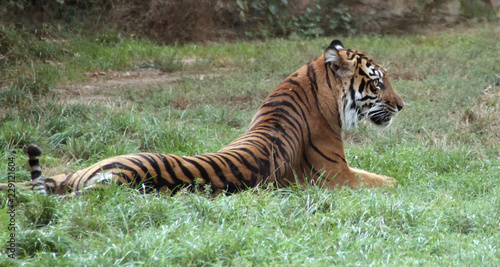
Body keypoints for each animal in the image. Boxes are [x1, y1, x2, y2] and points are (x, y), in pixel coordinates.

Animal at [1, 39, 404, 197]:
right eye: (378, 82)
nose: (401, 105)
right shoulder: (337, 176)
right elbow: (388, 180)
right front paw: (399, 182)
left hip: (76, 171)